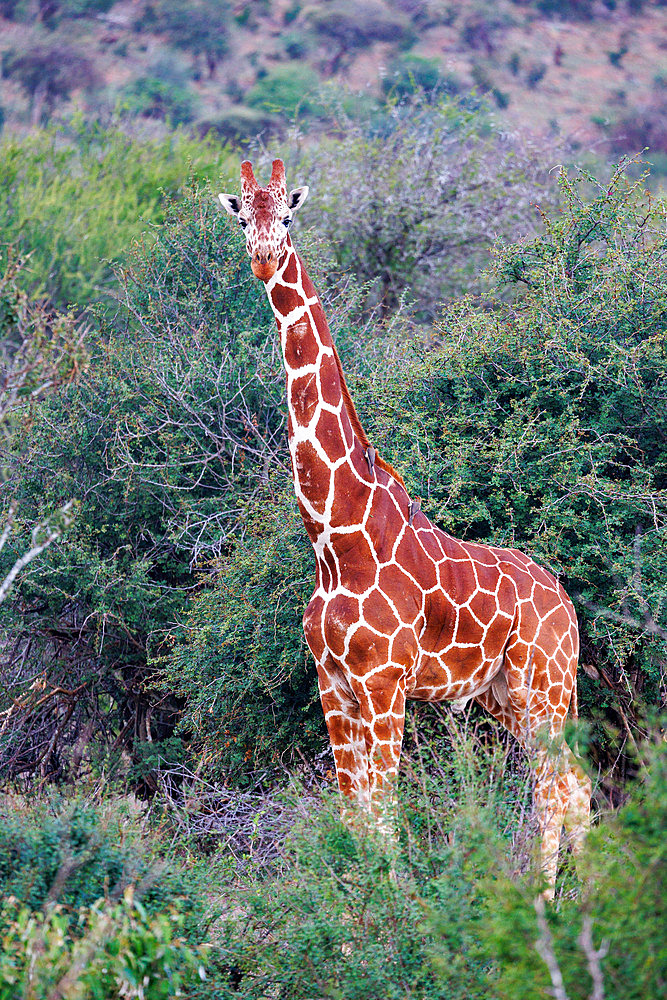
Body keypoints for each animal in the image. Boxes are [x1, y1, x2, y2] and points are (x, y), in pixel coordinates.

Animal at [218, 158, 588, 900]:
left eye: (288, 216)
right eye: (244, 215)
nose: (265, 256)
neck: (335, 537)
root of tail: (566, 602)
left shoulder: (383, 684)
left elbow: (385, 815)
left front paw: (393, 914)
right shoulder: (332, 683)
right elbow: (352, 812)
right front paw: (350, 915)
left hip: (543, 685)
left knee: (552, 788)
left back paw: (548, 904)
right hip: (504, 695)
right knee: (574, 785)